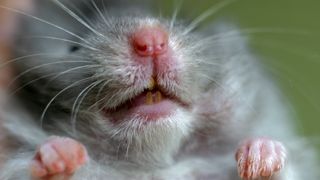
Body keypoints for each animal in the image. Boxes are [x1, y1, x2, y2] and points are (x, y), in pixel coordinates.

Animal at [0, 0, 318, 179]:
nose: (151, 40)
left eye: (189, 28)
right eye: (73, 46)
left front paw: (259, 155)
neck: (150, 165)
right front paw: (61, 155)